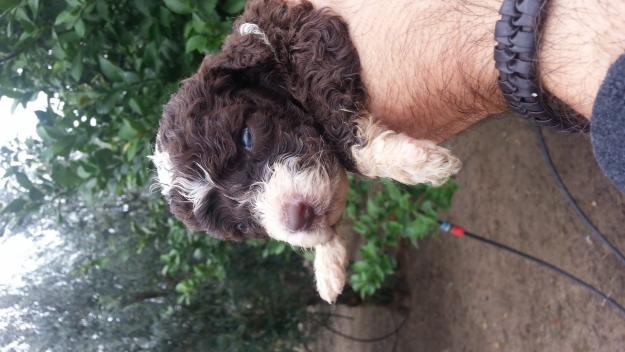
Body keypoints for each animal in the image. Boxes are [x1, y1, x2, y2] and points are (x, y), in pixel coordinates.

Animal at [151, 0, 460, 302]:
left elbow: (338, 121)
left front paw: (419, 163)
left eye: (247, 137)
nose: (298, 218)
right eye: (242, 226)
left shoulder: (306, 39)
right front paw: (328, 267)